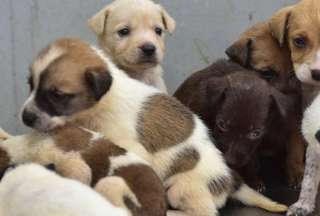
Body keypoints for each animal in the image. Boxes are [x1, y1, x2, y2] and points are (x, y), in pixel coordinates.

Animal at [175, 62, 296, 191]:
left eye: (256, 133)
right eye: (222, 124)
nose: (229, 161)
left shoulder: (252, 148)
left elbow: (251, 162)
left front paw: (254, 180)